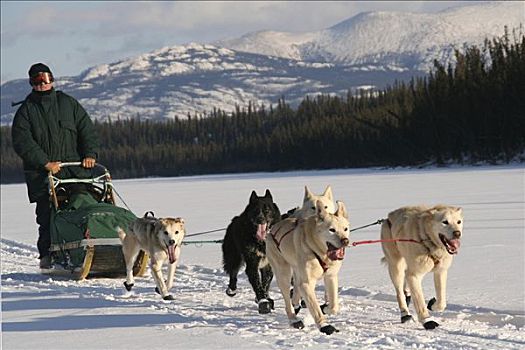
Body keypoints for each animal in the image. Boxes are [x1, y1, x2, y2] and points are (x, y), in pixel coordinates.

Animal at [268, 200, 350, 334]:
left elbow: (334, 306)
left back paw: (296, 304)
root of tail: (273, 229)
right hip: (283, 272)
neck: (320, 252)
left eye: (345, 229)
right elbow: (314, 307)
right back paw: (294, 319)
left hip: (298, 271)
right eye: (332, 230)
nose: (345, 241)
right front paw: (324, 325)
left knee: (296, 289)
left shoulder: (331, 276)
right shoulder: (307, 283)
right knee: (287, 298)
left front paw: (325, 308)